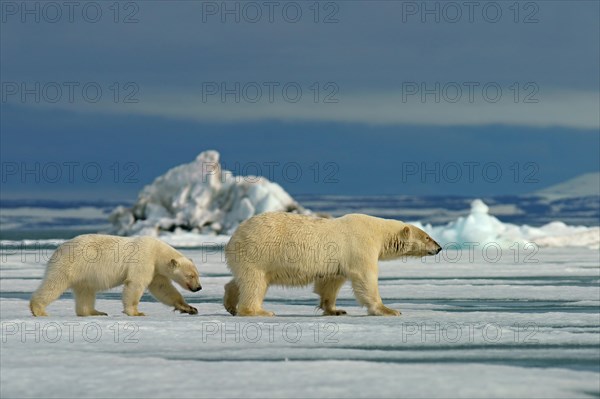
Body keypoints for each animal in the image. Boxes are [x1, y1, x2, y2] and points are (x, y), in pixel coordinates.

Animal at [29, 234, 202, 318]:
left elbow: (163, 288)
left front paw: (189, 308)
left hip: (84, 274)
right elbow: (136, 283)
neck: (157, 252)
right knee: (54, 284)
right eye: (191, 275)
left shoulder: (156, 270)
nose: (199, 288)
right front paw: (136, 312)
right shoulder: (144, 260)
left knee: (86, 292)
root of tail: (57, 249)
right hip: (70, 265)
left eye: (197, 275)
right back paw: (38, 310)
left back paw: (95, 312)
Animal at [225, 214, 440, 318]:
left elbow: (331, 281)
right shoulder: (361, 246)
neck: (378, 231)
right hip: (259, 252)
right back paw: (259, 311)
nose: (439, 247)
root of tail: (234, 236)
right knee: (254, 283)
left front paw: (335, 310)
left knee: (242, 280)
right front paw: (388, 310)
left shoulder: (337, 261)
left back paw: (230, 304)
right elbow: (366, 278)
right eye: (427, 237)